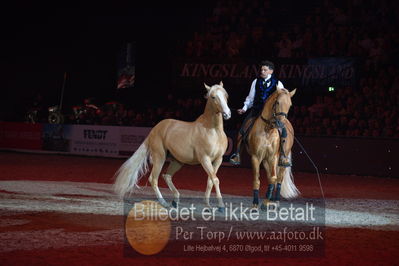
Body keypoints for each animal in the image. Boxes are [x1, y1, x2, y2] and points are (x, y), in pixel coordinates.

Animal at [112, 82, 231, 211]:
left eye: (226, 95)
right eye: (213, 97)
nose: (227, 114)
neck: (213, 131)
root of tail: (154, 130)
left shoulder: (218, 160)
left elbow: (211, 180)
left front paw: (208, 205)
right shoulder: (204, 159)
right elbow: (215, 179)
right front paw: (221, 206)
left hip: (177, 161)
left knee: (167, 176)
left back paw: (175, 200)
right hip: (160, 157)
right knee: (154, 179)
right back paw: (164, 203)